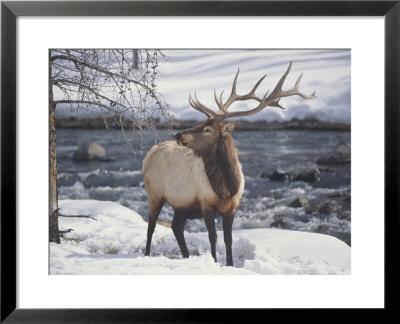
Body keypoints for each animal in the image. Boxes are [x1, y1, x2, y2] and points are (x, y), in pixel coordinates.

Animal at [144, 62, 316, 266]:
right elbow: (213, 237)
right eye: (201, 123)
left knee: (176, 226)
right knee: (151, 224)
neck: (226, 188)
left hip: (182, 204)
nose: (178, 134)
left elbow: (228, 239)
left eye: (207, 129)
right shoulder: (205, 204)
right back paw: (147, 254)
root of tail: (150, 151)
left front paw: (231, 264)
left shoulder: (232, 206)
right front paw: (214, 261)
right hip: (155, 193)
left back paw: (185, 256)